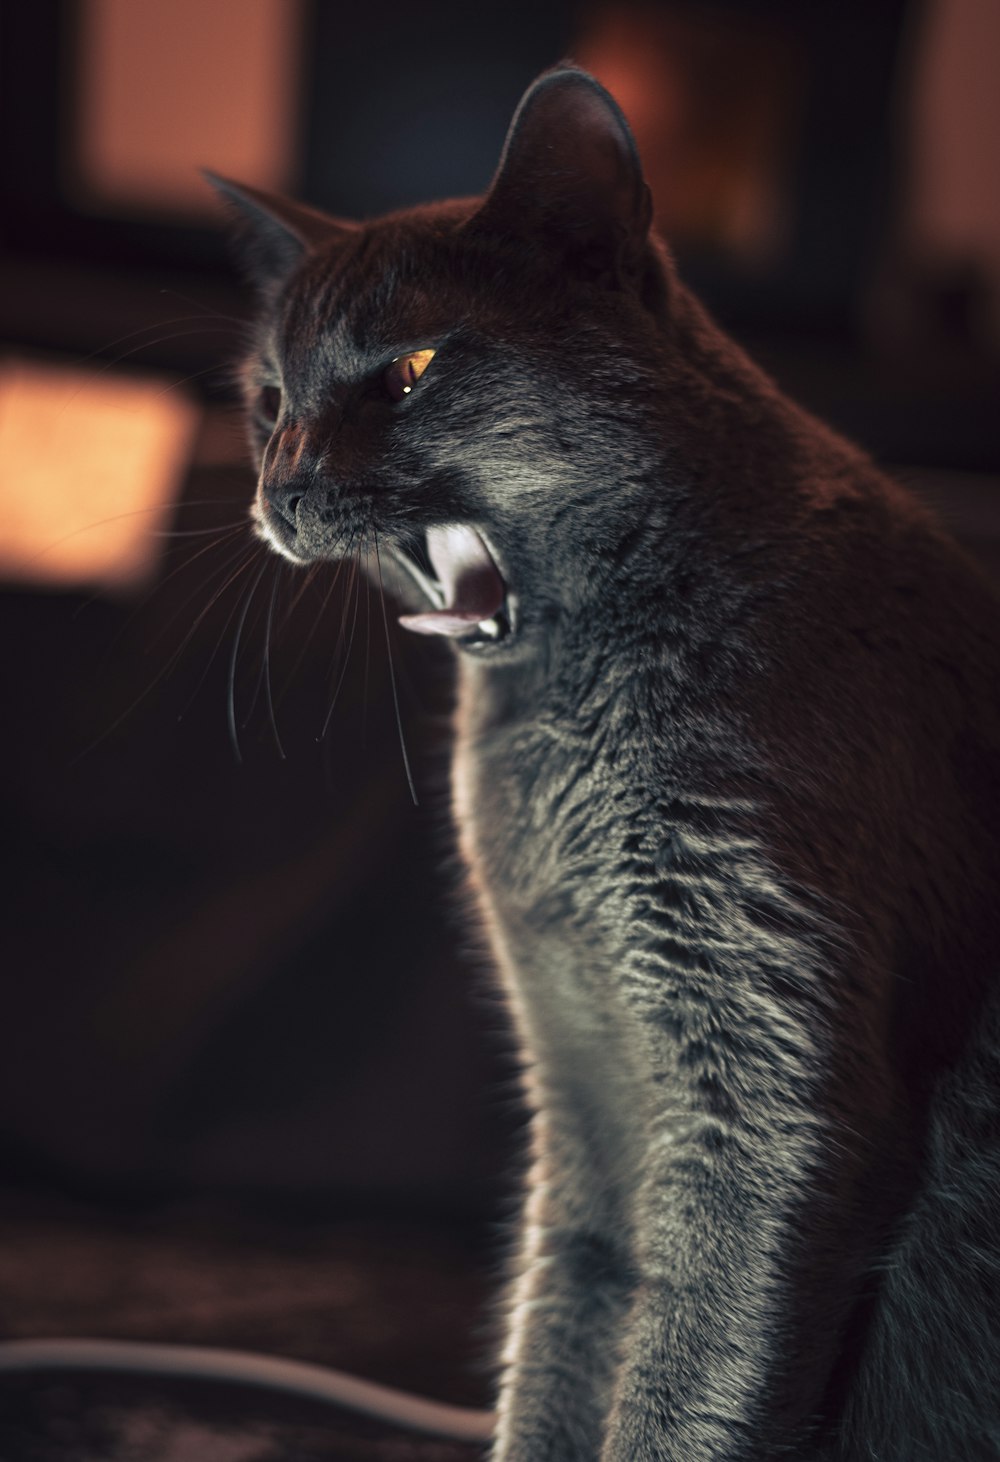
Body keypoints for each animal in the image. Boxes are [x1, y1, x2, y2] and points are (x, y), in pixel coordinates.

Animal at [210, 62, 1000, 1456]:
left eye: (411, 371)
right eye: (267, 400)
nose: (278, 490)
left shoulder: (762, 1070)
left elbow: (692, 1368)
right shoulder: (573, 1088)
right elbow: (560, 1328)